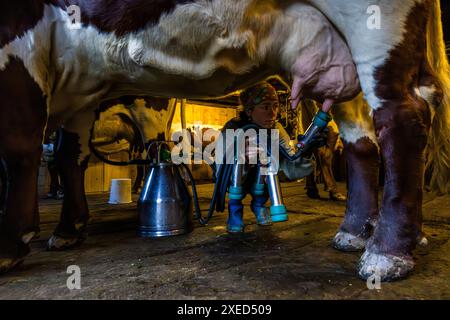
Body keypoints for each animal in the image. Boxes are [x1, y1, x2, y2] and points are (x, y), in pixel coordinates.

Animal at [0, 0, 450, 280]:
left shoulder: (19, 46)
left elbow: (17, 147)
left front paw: (10, 244)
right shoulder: (78, 88)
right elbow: (67, 156)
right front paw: (68, 229)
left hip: (376, 22)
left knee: (403, 115)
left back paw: (386, 252)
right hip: (340, 62)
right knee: (361, 138)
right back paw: (358, 231)